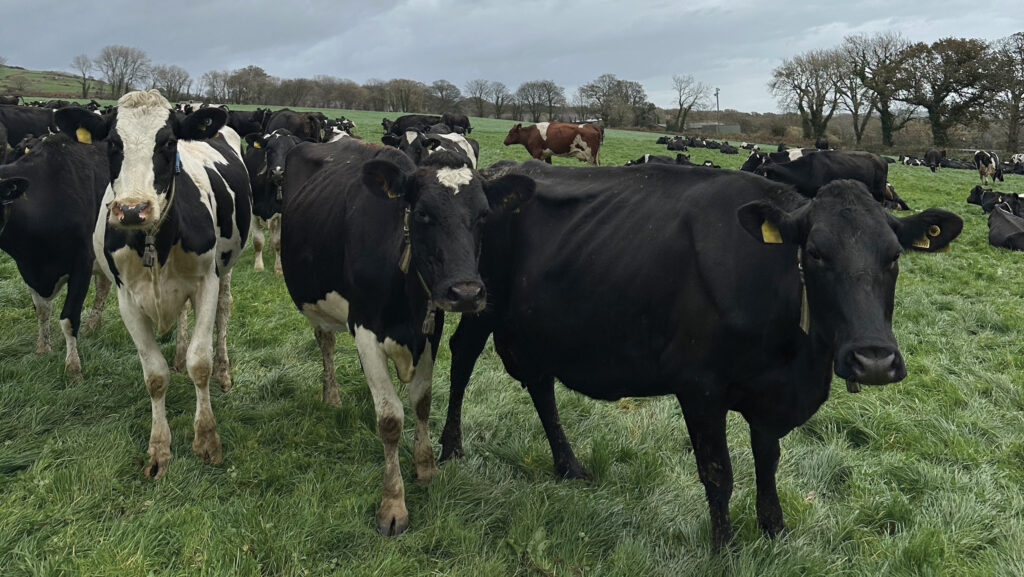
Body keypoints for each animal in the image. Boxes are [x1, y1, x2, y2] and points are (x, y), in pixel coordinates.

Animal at [0, 132, 112, 380]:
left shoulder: (82, 262)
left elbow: (69, 318)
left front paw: (73, 368)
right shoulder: (26, 267)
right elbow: (41, 310)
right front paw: (42, 348)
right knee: (103, 286)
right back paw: (94, 325)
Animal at [54, 90, 251, 478]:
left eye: (169, 142)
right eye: (113, 143)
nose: (132, 210)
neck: (154, 243)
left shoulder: (206, 282)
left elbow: (199, 363)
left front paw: (207, 439)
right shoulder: (127, 298)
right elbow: (155, 376)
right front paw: (159, 449)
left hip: (226, 267)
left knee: (224, 313)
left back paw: (223, 372)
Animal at [243, 129, 308, 274]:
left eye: (290, 150)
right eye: (269, 149)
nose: (278, 172)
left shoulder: (282, 213)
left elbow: (279, 241)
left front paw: (279, 268)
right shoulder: (253, 211)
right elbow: (258, 241)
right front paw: (258, 267)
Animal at [279, 139, 534, 536]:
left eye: (483, 216)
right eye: (423, 214)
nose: (466, 292)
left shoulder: (431, 328)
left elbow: (422, 401)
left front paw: (425, 467)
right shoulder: (364, 329)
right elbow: (390, 419)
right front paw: (393, 504)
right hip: (316, 300)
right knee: (325, 342)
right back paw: (332, 395)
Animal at [437, 160, 963, 549]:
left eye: (894, 255)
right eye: (814, 252)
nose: (873, 360)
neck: (797, 364)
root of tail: (500, 171)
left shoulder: (769, 393)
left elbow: (768, 460)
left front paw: (774, 531)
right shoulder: (699, 387)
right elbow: (718, 474)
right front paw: (724, 548)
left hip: (539, 326)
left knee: (541, 386)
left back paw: (569, 465)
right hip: (478, 302)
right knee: (462, 360)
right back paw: (450, 448)